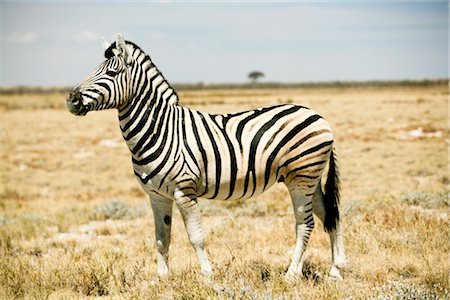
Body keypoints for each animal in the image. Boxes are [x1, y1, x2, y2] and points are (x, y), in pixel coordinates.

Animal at [67, 34, 348, 280]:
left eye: (111, 73)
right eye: (95, 69)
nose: (71, 99)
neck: (159, 129)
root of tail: (317, 115)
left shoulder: (184, 191)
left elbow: (196, 237)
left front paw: (207, 275)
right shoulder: (157, 196)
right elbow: (161, 239)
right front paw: (161, 279)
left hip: (300, 177)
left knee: (305, 224)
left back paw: (292, 274)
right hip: (310, 179)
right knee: (330, 215)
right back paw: (335, 271)